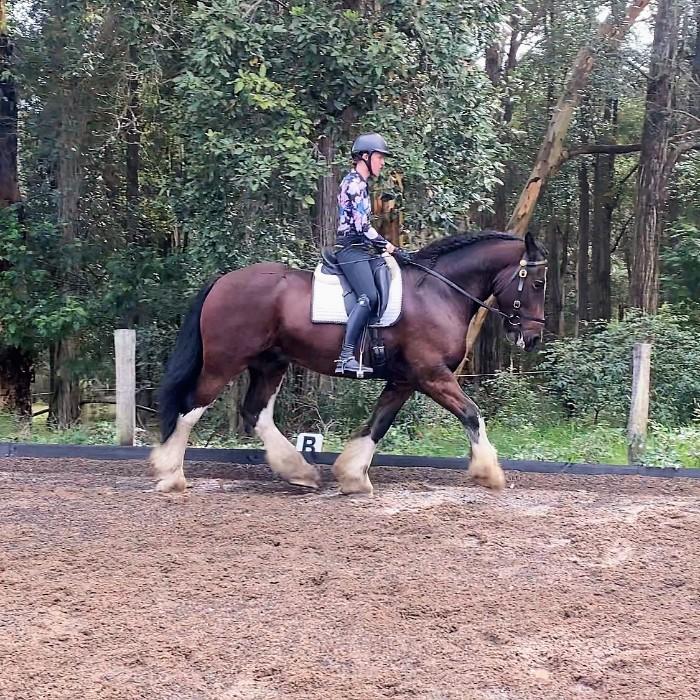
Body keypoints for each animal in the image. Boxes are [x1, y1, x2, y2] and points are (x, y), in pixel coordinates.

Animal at [150, 230, 547, 495]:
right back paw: (170, 474)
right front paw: (489, 473)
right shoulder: (431, 375)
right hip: (224, 362)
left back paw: (300, 472)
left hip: (269, 363)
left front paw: (353, 476)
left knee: (256, 412)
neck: (440, 291)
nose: (533, 338)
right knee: (190, 408)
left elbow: (379, 423)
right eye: (538, 283)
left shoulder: (405, 379)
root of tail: (222, 281)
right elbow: (470, 413)